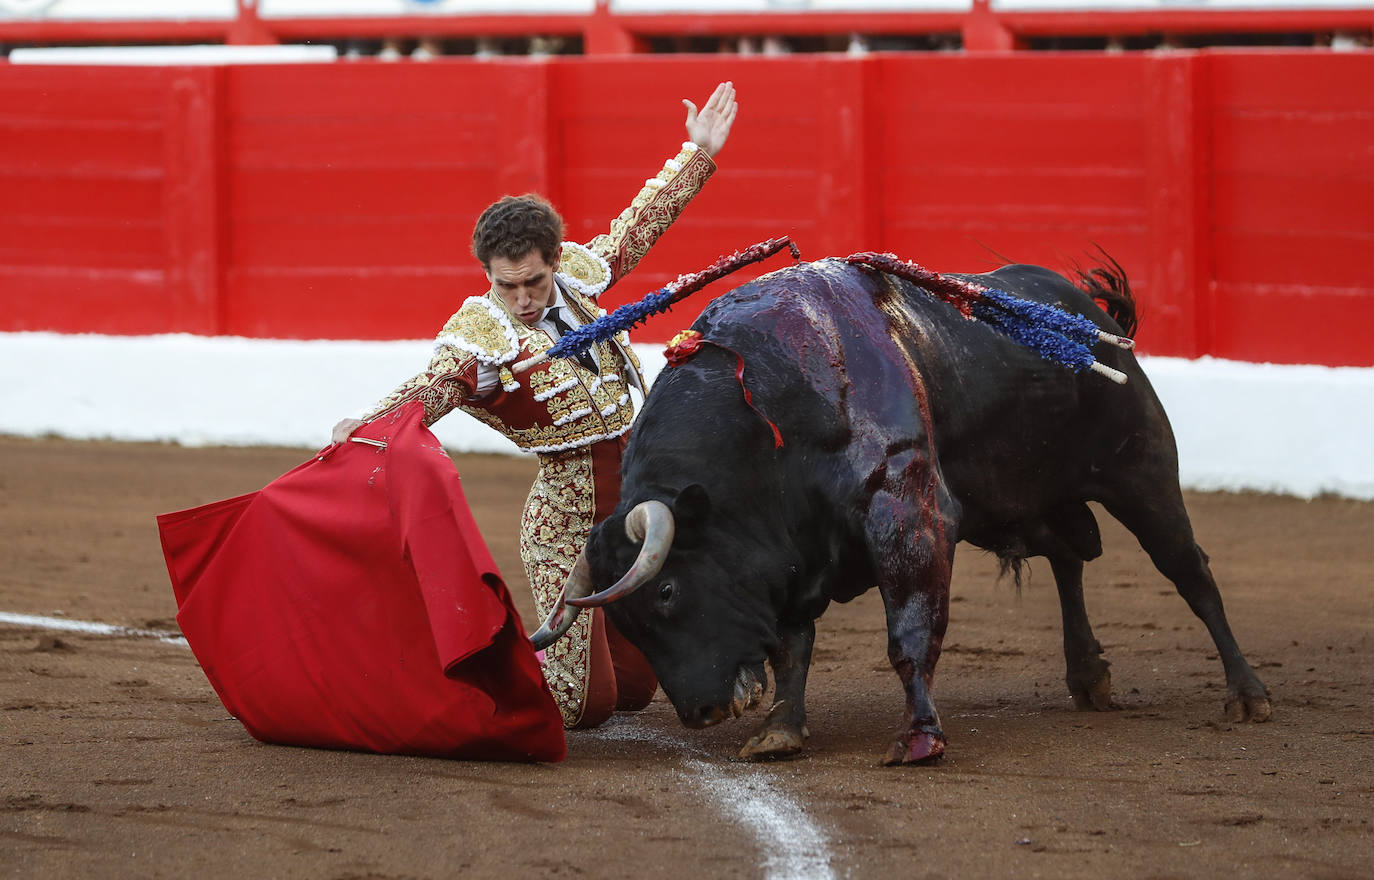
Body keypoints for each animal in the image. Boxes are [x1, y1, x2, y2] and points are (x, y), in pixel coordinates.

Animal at [530, 258, 1269, 764]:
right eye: (625, 621)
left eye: (668, 593)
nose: (702, 712)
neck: (771, 401)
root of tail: (1094, 315)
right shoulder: (791, 555)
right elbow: (793, 645)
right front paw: (780, 732)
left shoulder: (907, 515)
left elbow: (909, 630)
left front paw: (919, 739)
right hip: (1034, 501)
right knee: (1068, 561)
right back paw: (1088, 676)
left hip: (1142, 472)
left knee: (1189, 571)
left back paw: (1247, 694)